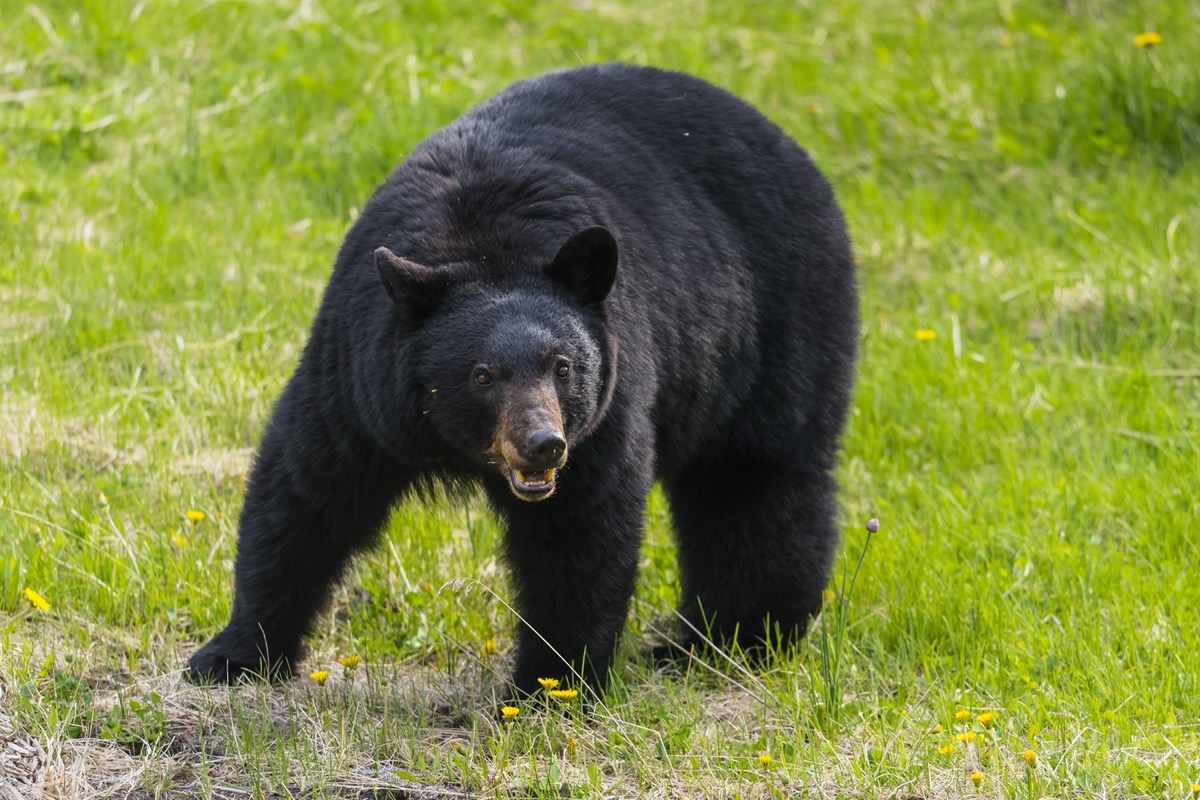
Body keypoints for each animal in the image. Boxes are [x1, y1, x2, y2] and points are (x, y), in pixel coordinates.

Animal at [187, 63, 859, 697]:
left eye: (563, 367)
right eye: (482, 375)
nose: (543, 445)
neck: (481, 246)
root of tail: (789, 145)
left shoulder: (608, 404)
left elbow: (579, 534)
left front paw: (549, 686)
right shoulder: (358, 377)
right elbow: (306, 495)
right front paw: (231, 656)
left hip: (776, 327)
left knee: (756, 482)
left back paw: (733, 640)